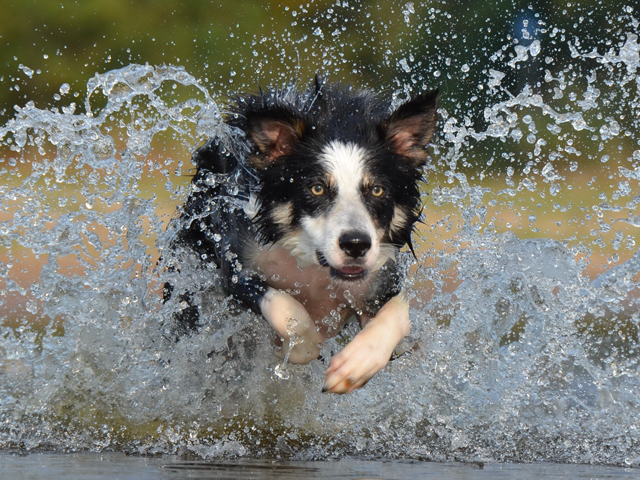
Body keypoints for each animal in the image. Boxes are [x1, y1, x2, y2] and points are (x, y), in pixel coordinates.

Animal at [165, 79, 438, 394]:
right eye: (316, 188)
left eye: (377, 190)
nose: (356, 244)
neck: (313, 267)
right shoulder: (236, 265)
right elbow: (285, 307)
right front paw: (302, 345)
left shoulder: (381, 277)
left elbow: (398, 313)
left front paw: (356, 364)